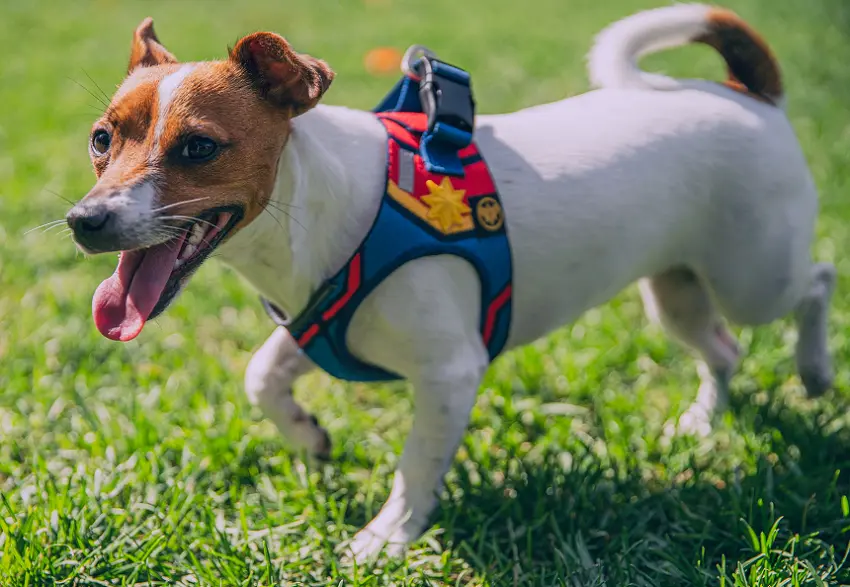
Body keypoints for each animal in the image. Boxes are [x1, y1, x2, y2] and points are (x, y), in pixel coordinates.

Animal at [68, 4, 836, 564]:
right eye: (101, 139)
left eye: (199, 147)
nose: (85, 221)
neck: (322, 208)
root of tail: (749, 94)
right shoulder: (319, 322)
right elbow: (262, 375)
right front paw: (310, 438)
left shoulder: (449, 372)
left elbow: (415, 468)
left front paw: (384, 538)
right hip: (675, 290)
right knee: (724, 349)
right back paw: (704, 420)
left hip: (753, 272)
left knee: (815, 281)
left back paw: (816, 367)